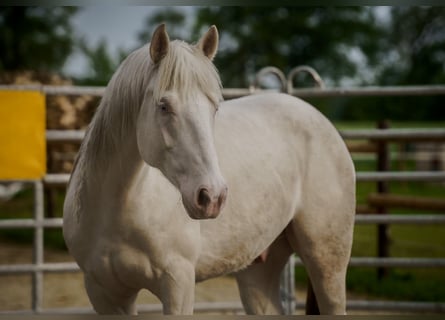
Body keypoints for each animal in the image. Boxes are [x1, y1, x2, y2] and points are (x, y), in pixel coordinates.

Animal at [61, 25, 354, 316]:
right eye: (164, 106)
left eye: (214, 108)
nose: (212, 197)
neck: (117, 211)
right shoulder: (105, 294)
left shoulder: (178, 284)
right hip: (258, 272)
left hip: (326, 260)